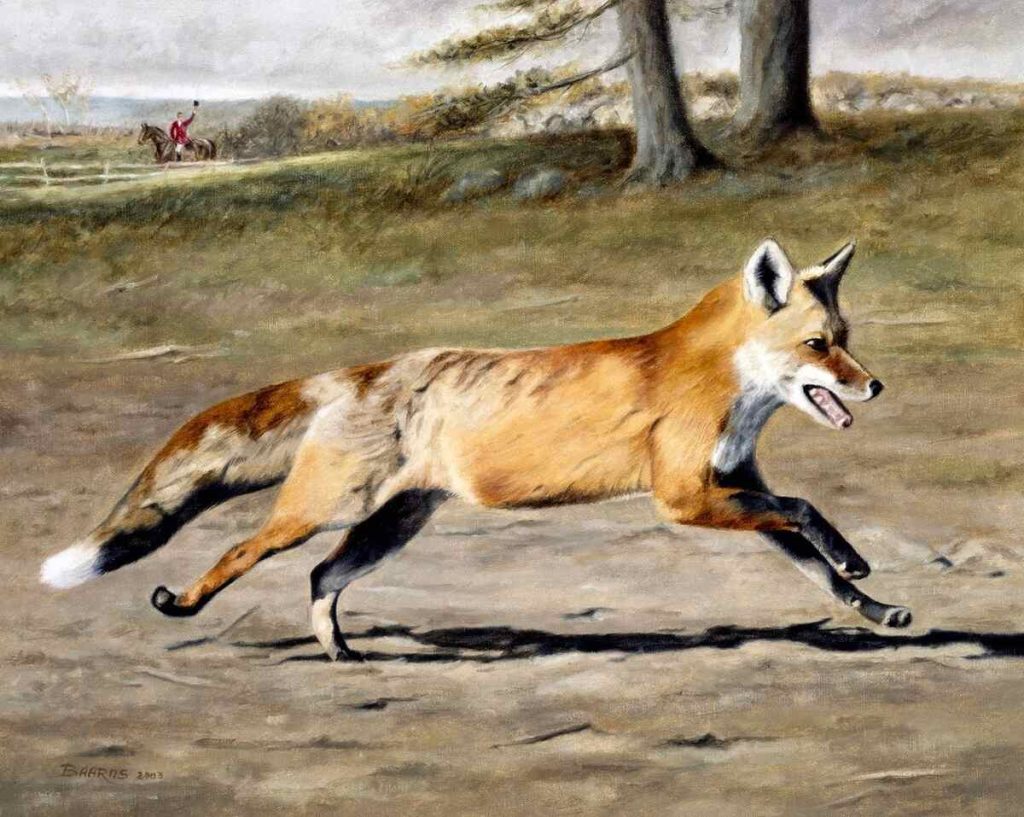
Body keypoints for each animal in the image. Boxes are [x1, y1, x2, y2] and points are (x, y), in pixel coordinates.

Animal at [40, 238, 911, 661]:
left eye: (846, 338)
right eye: (818, 345)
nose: (875, 386)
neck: (717, 379)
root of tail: (361, 373)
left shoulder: (733, 486)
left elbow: (816, 560)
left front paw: (875, 605)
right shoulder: (687, 499)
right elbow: (803, 510)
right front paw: (858, 561)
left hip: (391, 526)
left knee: (321, 576)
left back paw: (339, 652)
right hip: (321, 509)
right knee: (240, 551)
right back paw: (186, 603)